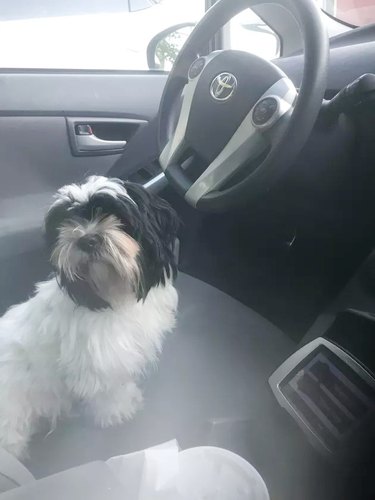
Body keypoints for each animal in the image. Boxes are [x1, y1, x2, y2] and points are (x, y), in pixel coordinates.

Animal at [0, 175, 181, 458]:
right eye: (69, 222)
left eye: (116, 216)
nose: (86, 239)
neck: (113, 295)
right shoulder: (100, 362)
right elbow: (109, 389)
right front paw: (119, 411)